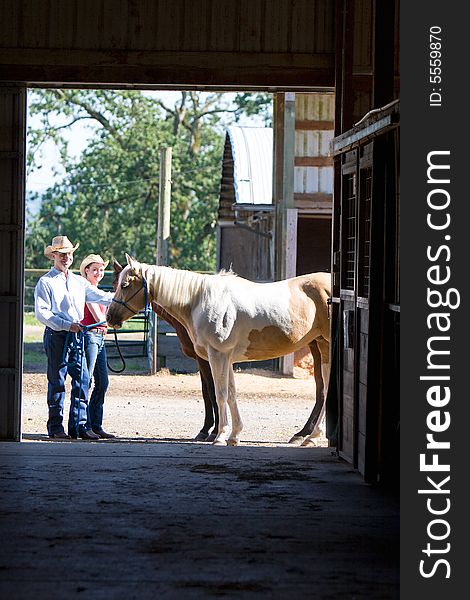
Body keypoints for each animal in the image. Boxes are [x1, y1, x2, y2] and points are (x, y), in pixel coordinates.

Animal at [106, 253, 330, 446]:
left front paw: (219, 435)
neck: (199, 300)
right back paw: (310, 437)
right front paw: (234, 434)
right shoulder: (225, 358)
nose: (110, 317)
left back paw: (310, 436)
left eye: (124, 285)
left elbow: (218, 393)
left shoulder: (216, 355)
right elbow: (230, 394)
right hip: (322, 346)